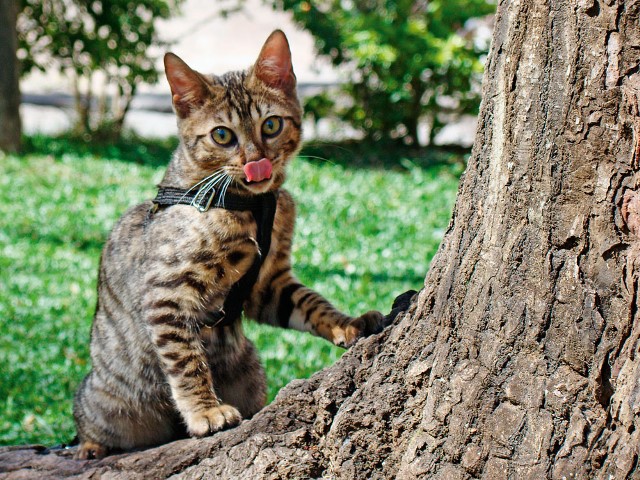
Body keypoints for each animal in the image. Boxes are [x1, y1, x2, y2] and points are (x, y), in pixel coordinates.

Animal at [71, 31, 390, 462]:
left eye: (271, 124)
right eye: (222, 135)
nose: (257, 160)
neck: (249, 205)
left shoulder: (268, 282)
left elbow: (311, 302)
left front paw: (346, 322)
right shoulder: (166, 293)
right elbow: (187, 360)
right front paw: (205, 410)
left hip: (252, 369)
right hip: (106, 401)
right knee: (86, 417)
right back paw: (91, 445)